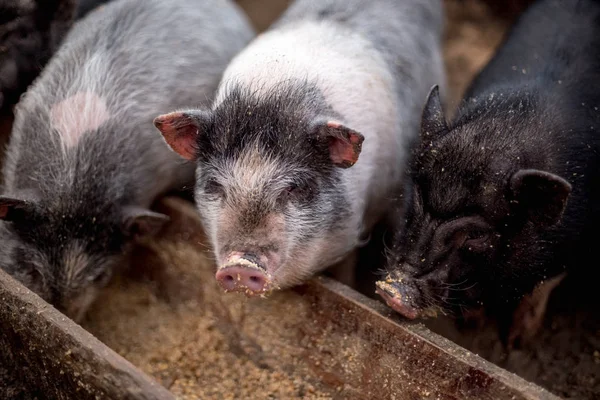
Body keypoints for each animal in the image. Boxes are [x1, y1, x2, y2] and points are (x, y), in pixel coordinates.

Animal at [378, 0, 600, 346]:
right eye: (416, 200)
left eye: (477, 235)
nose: (394, 292)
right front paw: (472, 326)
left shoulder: (574, 242)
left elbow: (541, 287)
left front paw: (518, 340)